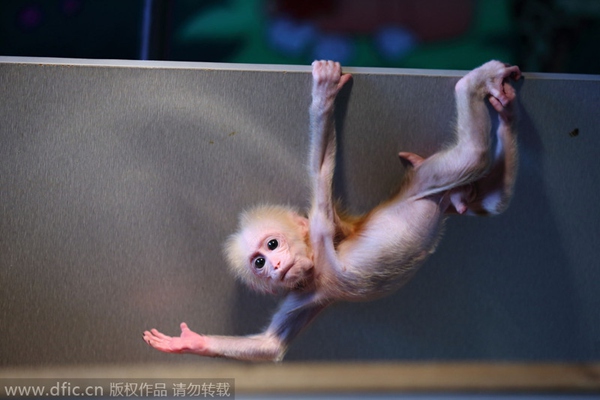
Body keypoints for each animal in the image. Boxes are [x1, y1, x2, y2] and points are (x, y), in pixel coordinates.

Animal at [145, 59, 520, 362]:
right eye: (259, 263)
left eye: (272, 245)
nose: (276, 266)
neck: (318, 270)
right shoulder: (304, 295)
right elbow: (270, 346)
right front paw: (190, 342)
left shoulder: (320, 228)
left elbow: (321, 169)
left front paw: (323, 97)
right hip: (435, 188)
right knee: (490, 198)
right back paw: (503, 116)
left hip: (425, 181)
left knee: (473, 155)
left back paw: (474, 83)